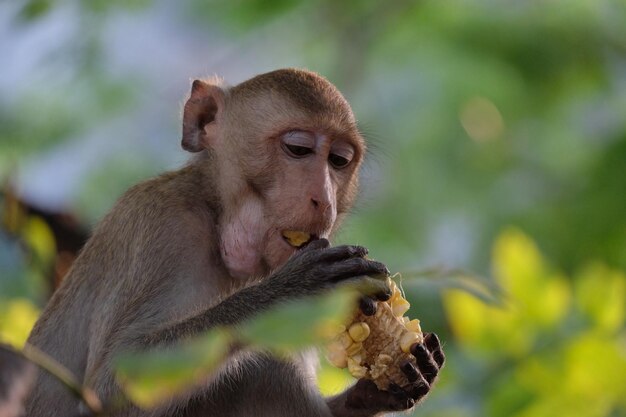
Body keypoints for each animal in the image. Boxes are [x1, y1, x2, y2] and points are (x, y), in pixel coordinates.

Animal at [24, 69, 444, 416]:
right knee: (268, 367)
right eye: (298, 149)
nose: (324, 201)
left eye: (339, 160)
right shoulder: (160, 229)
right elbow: (111, 385)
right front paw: (289, 291)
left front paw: (376, 392)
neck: (218, 216)